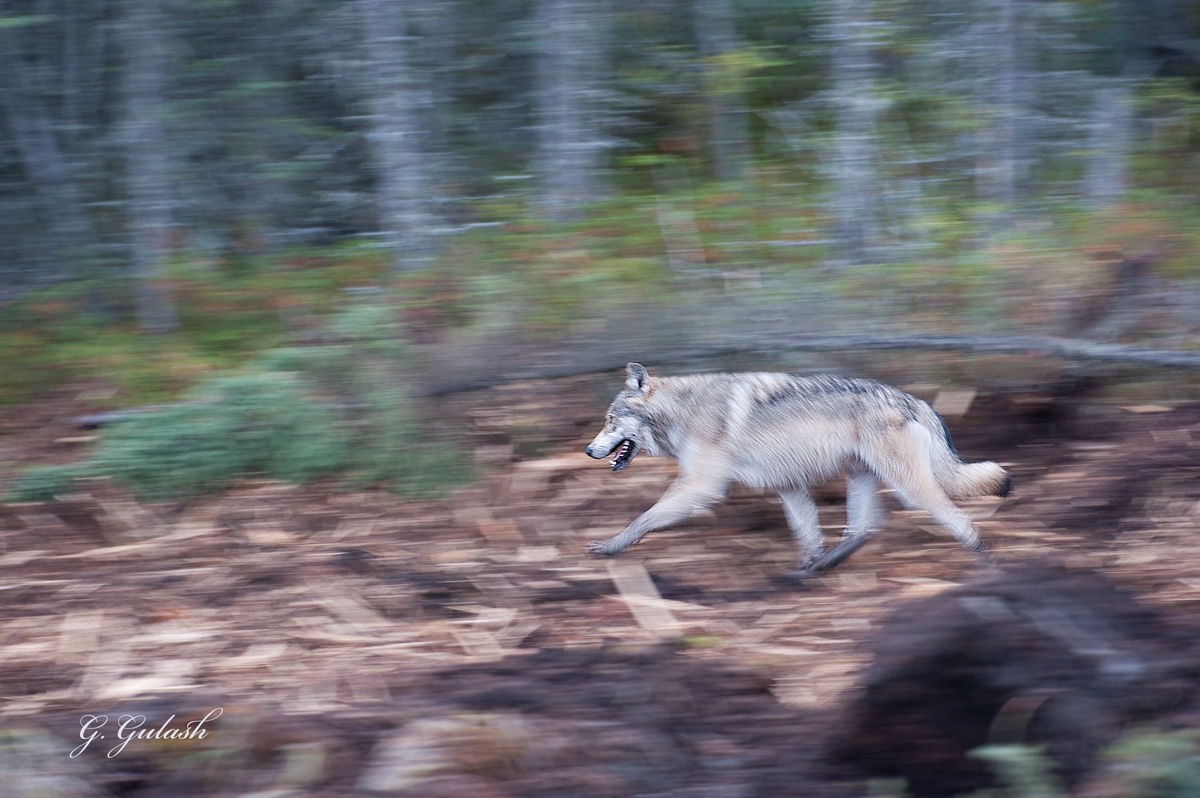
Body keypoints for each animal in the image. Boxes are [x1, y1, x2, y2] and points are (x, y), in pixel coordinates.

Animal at [584, 363, 1010, 575]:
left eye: (609, 420)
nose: (588, 450)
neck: (682, 412)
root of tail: (915, 400)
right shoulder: (787, 486)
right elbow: (807, 532)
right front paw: (807, 562)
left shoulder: (702, 486)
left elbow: (643, 519)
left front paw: (609, 546)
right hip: (863, 479)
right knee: (863, 529)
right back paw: (821, 567)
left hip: (910, 488)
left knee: (960, 521)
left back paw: (988, 566)